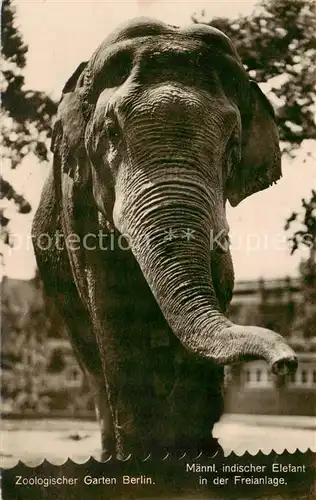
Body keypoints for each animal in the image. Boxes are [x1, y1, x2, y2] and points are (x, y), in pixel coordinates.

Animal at [33, 16, 298, 460]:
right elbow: (110, 306)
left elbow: (218, 286)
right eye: (111, 132)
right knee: (92, 359)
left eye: (233, 144)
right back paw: (111, 456)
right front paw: (143, 460)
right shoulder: (77, 205)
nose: (287, 364)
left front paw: (196, 454)